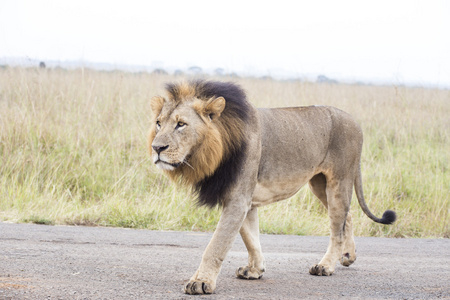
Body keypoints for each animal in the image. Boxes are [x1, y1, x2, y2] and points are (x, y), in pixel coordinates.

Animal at [149, 79, 396, 296]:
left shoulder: (238, 200)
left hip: (339, 180)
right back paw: (348, 256)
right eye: (159, 123)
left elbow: (216, 246)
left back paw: (325, 266)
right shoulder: (243, 201)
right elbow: (251, 238)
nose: (156, 147)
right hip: (319, 183)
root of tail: (354, 121)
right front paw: (255, 270)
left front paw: (201, 282)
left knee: (337, 227)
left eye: (181, 124)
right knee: (348, 216)